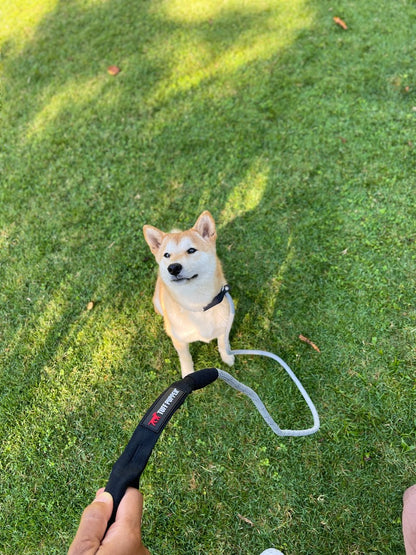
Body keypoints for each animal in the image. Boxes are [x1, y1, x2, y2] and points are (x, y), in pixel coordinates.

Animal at [143, 210, 234, 378]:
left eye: (191, 250)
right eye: (167, 255)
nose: (173, 268)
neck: (198, 304)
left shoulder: (224, 326)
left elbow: (222, 343)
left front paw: (227, 356)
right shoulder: (179, 340)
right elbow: (185, 357)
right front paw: (188, 373)